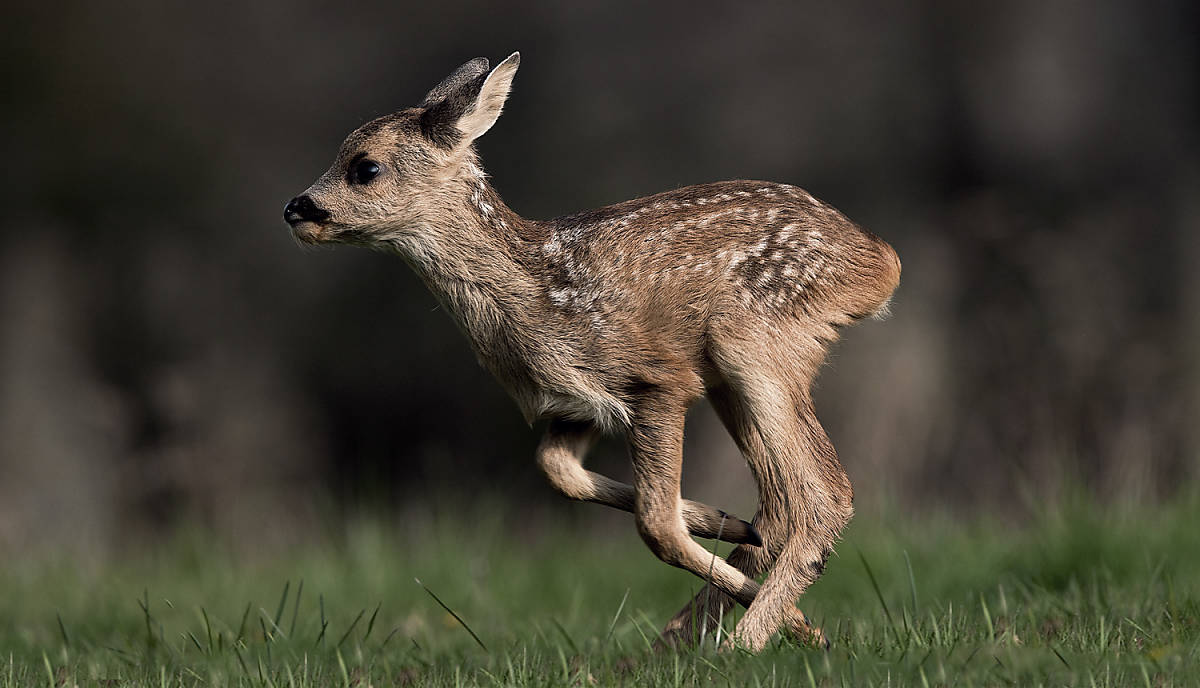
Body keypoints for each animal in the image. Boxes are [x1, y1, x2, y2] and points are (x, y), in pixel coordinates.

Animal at [285, 52, 897, 648]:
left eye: (365, 167)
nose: (295, 208)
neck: (535, 297)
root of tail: (880, 259)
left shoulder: (658, 380)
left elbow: (656, 523)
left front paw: (800, 625)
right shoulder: (576, 403)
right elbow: (558, 470)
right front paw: (719, 524)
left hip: (752, 339)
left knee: (823, 494)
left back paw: (749, 642)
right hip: (734, 376)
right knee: (775, 506)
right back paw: (691, 632)